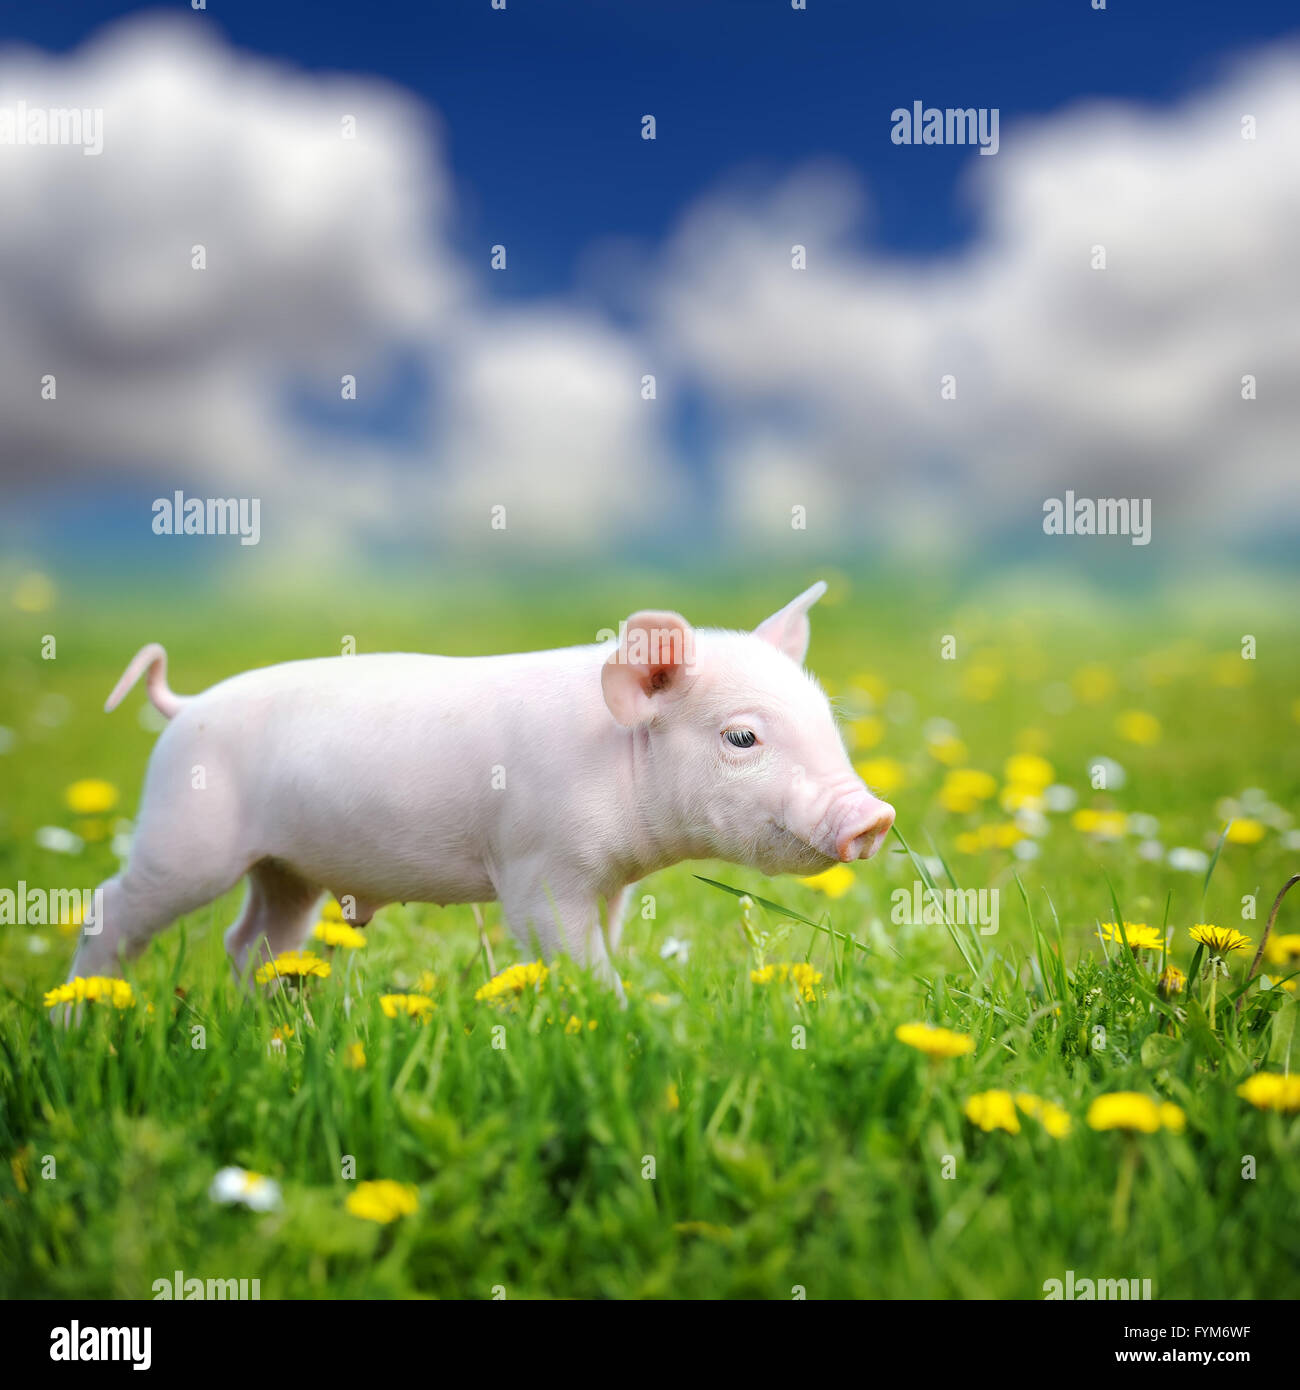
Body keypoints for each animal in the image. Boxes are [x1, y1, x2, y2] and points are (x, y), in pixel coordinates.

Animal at [69, 582, 895, 998]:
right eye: (742, 738)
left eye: (827, 723)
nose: (875, 815)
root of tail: (185, 706)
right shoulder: (537, 867)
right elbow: (572, 957)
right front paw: (616, 1022)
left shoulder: (612, 882)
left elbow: (607, 944)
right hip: (186, 833)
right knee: (110, 908)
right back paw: (79, 1022)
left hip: (287, 870)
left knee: (254, 942)